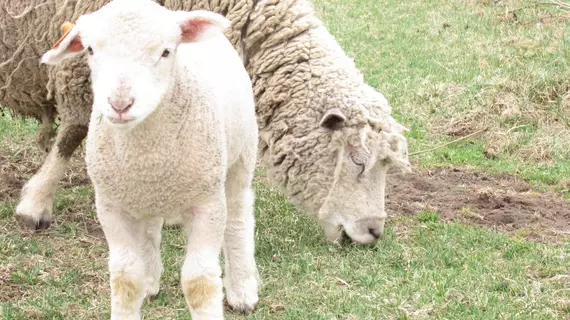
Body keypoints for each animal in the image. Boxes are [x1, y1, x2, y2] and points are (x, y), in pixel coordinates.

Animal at [41, 1, 258, 318]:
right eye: (90, 50)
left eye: (166, 52)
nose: (120, 104)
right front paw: (137, 289)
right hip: (143, 197)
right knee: (150, 230)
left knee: (239, 218)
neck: (147, 154)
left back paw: (242, 290)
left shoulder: (207, 205)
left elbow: (200, 281)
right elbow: (126, 277)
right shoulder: (111, 206)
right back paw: (151, 280)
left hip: (241, 157)